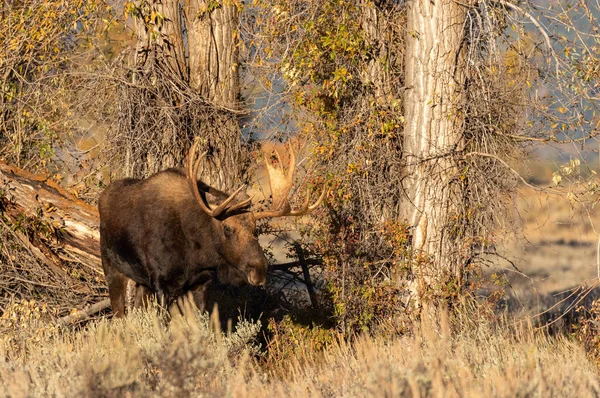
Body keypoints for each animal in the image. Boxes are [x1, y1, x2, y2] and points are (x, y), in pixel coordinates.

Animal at [99, 140, 324, 318]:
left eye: (255, 229)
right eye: (227, 229)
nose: (259, 269)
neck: (195, 256)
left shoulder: (201, 283)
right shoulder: (162, 284)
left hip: (141, 283)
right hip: (112, 268)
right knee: (119, 315)